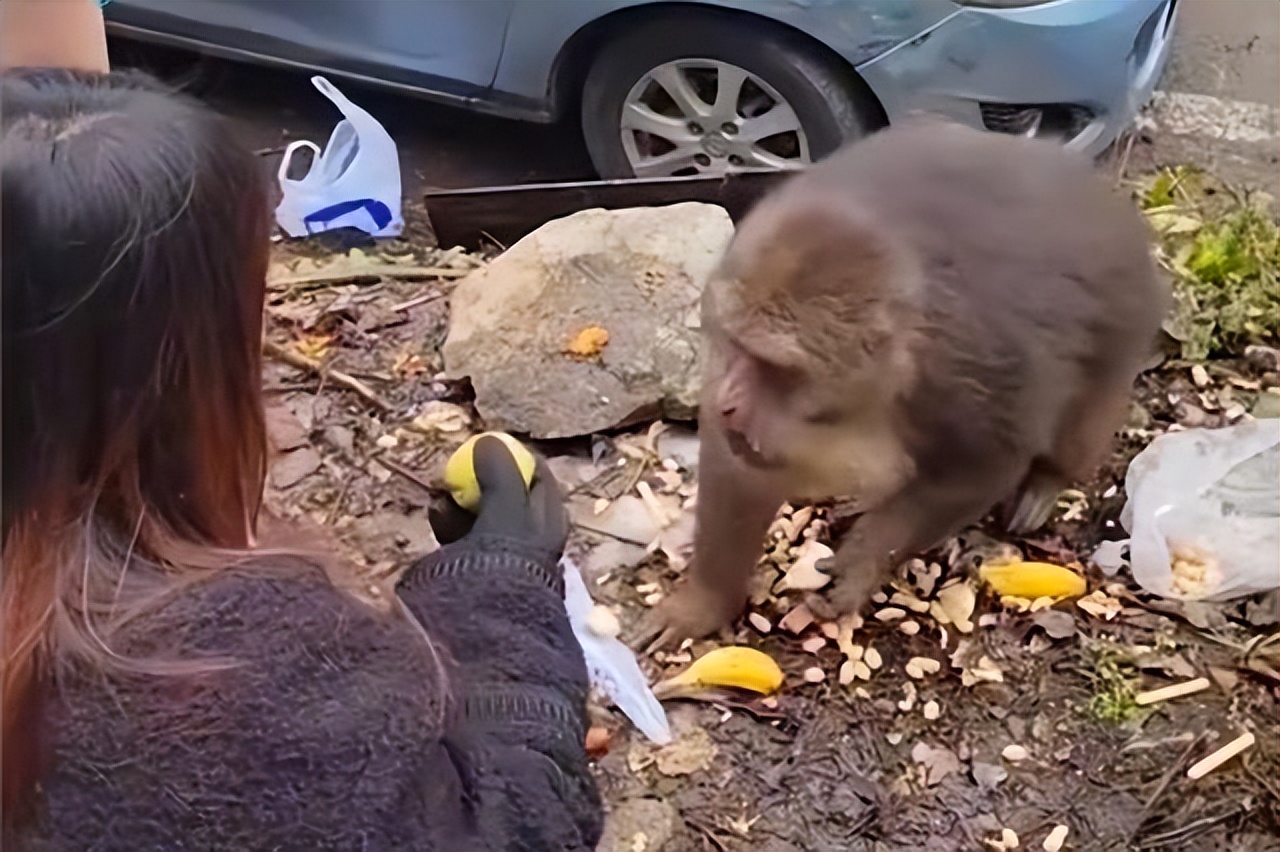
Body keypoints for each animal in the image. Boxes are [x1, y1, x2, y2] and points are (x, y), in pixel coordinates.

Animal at [640, 114, 1172, 644]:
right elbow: (738, 471)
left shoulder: (968, 382)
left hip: (1125, 318)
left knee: (1082, 416)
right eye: (735, 344)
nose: (730, 400)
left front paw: (862, 559)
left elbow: (980, 470)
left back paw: (1048, 479)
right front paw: (704, 602)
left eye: (775, 367)